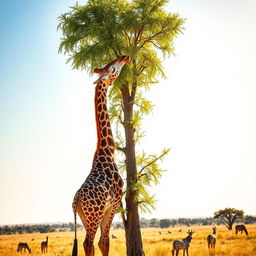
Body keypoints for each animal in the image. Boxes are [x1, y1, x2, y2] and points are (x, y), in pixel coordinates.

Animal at [71, 55, 130, 255]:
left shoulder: (109, 207)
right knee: (88, 243)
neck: (107, 151)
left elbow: (103, 242)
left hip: (84, 217)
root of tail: (76, 201)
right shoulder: (115, 202)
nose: (125, 57)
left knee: (86, 243)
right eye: (113, 69)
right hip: (94, 215)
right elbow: (105, 242)